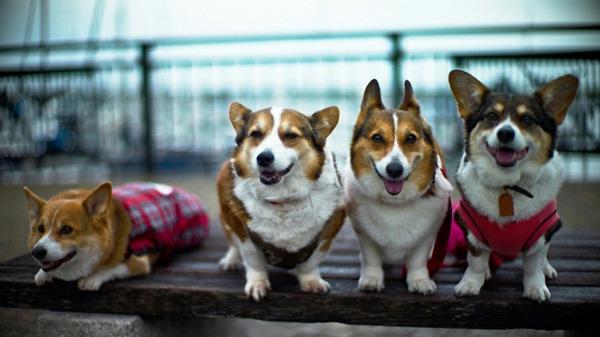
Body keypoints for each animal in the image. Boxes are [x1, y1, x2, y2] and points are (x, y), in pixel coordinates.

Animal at [23, 182, 209, 290]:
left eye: (66, 229)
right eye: (40, 228)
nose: (37, 252)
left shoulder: (138, 261)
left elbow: (113, 267)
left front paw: (92, 278)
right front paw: (42, 274)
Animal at [218, 101, 344, 300]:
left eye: (290, 135)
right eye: (256, 134)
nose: (263, 158)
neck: (281, 198)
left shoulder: (328, 233)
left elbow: (311, 263)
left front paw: (311, 282)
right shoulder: (242, 232)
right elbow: (253, 259)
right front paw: (257, 284)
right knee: (232, 243)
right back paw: (231, 260)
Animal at [344, 79, 452, 294]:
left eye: (410, 138)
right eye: (377, 138)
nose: (395, 170)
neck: (394, 203)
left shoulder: (427, 235)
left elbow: (418, 260)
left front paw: (419, 280)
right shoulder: (364, 236)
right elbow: (371, 258)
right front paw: (372, 279)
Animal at [448, 69, 580, 300]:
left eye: (527, 119)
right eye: (492, 116)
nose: (505, 133)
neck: (507, 185)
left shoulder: (542, 234)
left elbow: (533, 265)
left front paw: (536, 287)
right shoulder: (471, 231)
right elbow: (475, 262)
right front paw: (470, 284)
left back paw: (547, 269)